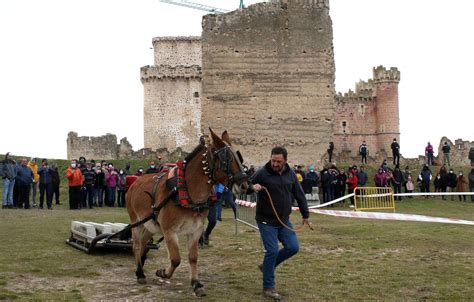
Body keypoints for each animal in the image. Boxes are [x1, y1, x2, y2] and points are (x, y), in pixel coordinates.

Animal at [124, 129, 250, 296]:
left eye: (238, 156)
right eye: (226, 158)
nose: (245, 185)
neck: (186, 191)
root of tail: (134, 182)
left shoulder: (195, 230)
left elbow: (193, 257)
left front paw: (196, 283)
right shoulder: (169, 231)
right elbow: (176, 259)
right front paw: (163, 273)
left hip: (151, 225)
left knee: (144, 243)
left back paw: (142, 264)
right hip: (136, 222)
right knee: (137, 245)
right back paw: (140, 273)